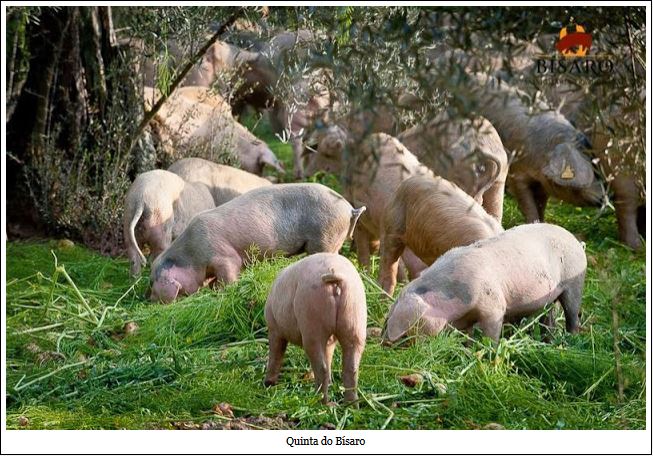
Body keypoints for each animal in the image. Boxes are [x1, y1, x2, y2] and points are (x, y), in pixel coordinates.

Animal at [150, 183, 366, 303]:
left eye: (152, 280)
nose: (148, 297)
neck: (191, 254)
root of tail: (349, 209)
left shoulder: (223, 255)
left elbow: (229, 274)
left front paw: (225, 291)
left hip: (324, 237)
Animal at [264, 253, 366, 404]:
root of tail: (334, 274)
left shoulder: (274, 328)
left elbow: (276, 353)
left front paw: (269, 383)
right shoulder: (331, 340)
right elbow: (329, 356)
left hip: (311, 321)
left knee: (321, 367)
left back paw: (319, 400)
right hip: (355, 319)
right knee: (351, 367)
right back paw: (350, 404)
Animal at [383, 223, 586, 344]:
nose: (384, 342)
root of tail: (577, 241)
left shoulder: (494, 306)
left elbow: (491, 332)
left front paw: (488, 350)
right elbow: (468, 334)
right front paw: (466, 346)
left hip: (575, 281)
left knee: (572, 314)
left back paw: (571, 339)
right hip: (550, 296)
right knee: (549, 318)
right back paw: (547, 341)